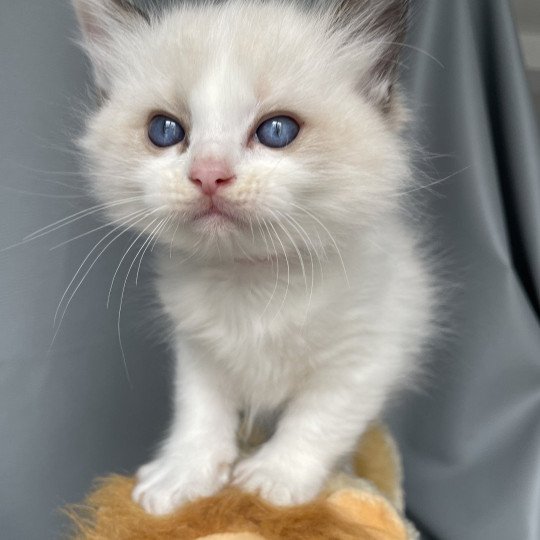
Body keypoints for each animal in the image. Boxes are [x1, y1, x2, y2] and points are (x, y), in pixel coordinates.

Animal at [73, 0, 434, 516]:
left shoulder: (365, 352)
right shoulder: (198, 350)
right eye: (165, 130)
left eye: (277, 131)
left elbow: (318, 418)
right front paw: (184, 475)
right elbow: (199, 413)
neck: (252, 279)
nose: (208, 174)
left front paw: (271, 481)